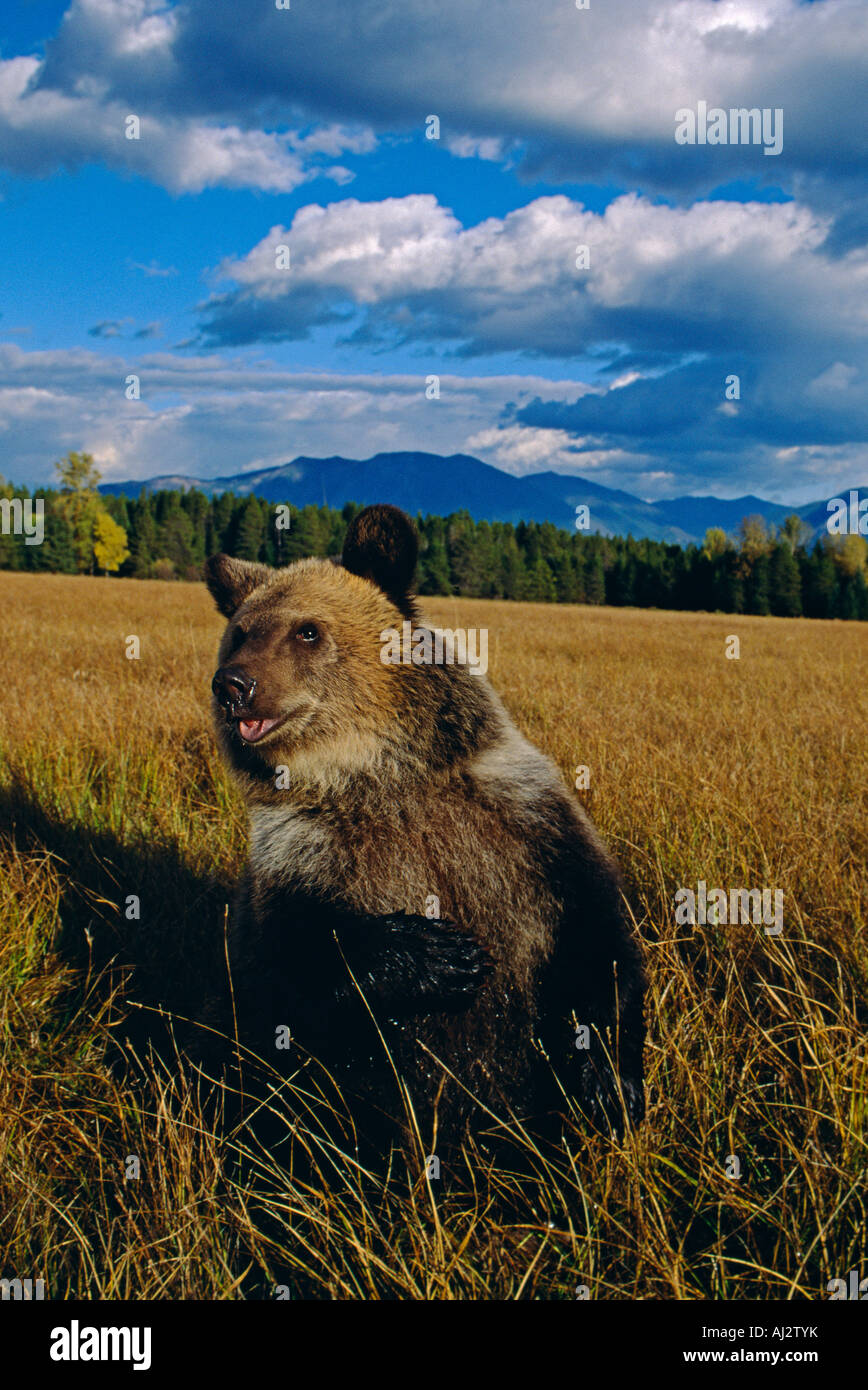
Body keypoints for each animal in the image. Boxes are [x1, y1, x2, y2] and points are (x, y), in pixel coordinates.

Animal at [204, 505, 645, 1145]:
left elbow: (594, 940)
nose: (234, 685)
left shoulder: (529, 823)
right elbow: (285, 977)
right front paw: (435, 955)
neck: (374, 774)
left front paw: (605, 1087)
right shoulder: (301, 858)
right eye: (240, 632)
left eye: (307, 631)